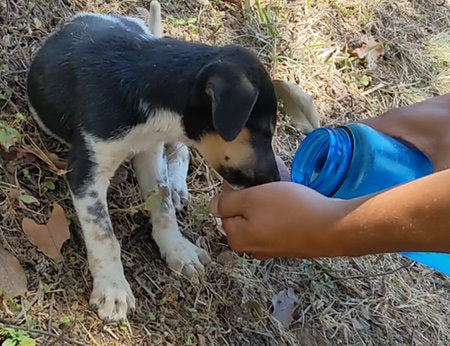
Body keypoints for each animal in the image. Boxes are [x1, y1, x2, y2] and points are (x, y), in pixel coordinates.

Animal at [26, 6, 280, 322]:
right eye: (264, 131)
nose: (275, 180)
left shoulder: (150, 151)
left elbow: (163, 205)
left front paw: (177, 248)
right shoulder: (87, 169)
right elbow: (103, 233)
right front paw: (113, 288)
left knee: (181, 154)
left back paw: (179, 186)